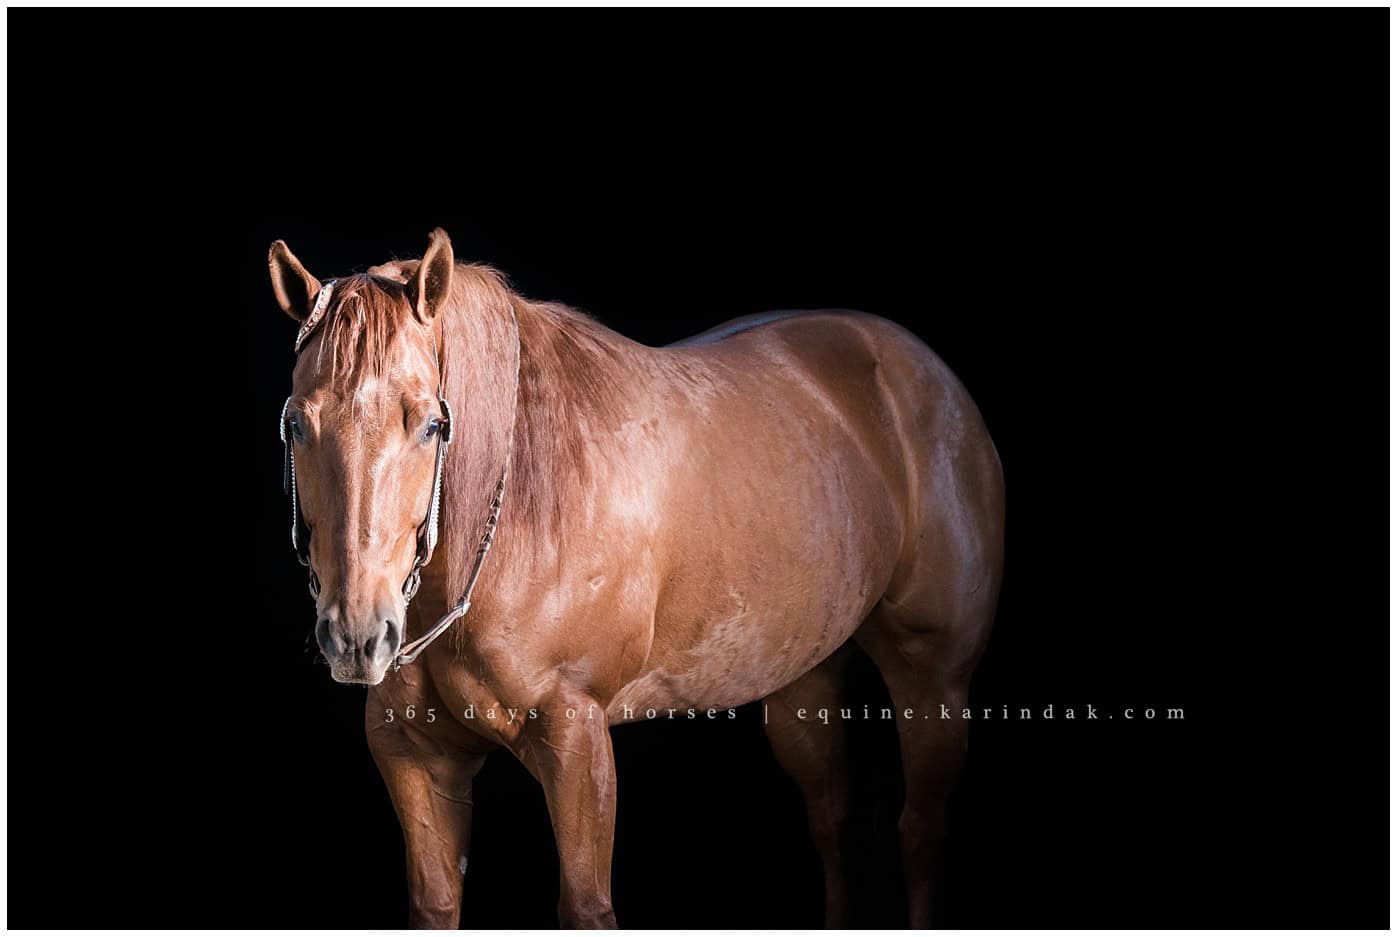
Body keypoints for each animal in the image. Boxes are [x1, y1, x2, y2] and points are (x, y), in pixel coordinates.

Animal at [270, 228, 1004, 928]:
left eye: (430, 424)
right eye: (295, 423)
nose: (358, 636)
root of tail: (925, 373)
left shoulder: (576, 740)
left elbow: (587, 906)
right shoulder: (413, 756)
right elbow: (434, 905)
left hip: (932, 680)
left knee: (920, 832)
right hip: (804, 676)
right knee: (833, 824)